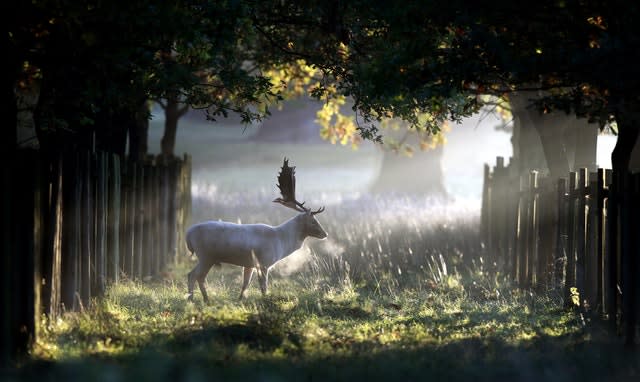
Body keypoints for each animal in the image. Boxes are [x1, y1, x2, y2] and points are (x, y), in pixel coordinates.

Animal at [184, 158, 324, 302]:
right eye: (313, 221)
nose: (325, 234)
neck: (282, 240)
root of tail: (188, 235)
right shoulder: (264, 263)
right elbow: (263, 286)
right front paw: (266, 299)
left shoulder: (250, 264)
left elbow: (245, 283)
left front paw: (240, 299)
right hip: (206, 255)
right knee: (194, 275)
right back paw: (193, 299)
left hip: (206, 257)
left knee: (196, 276)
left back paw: (203, 299)